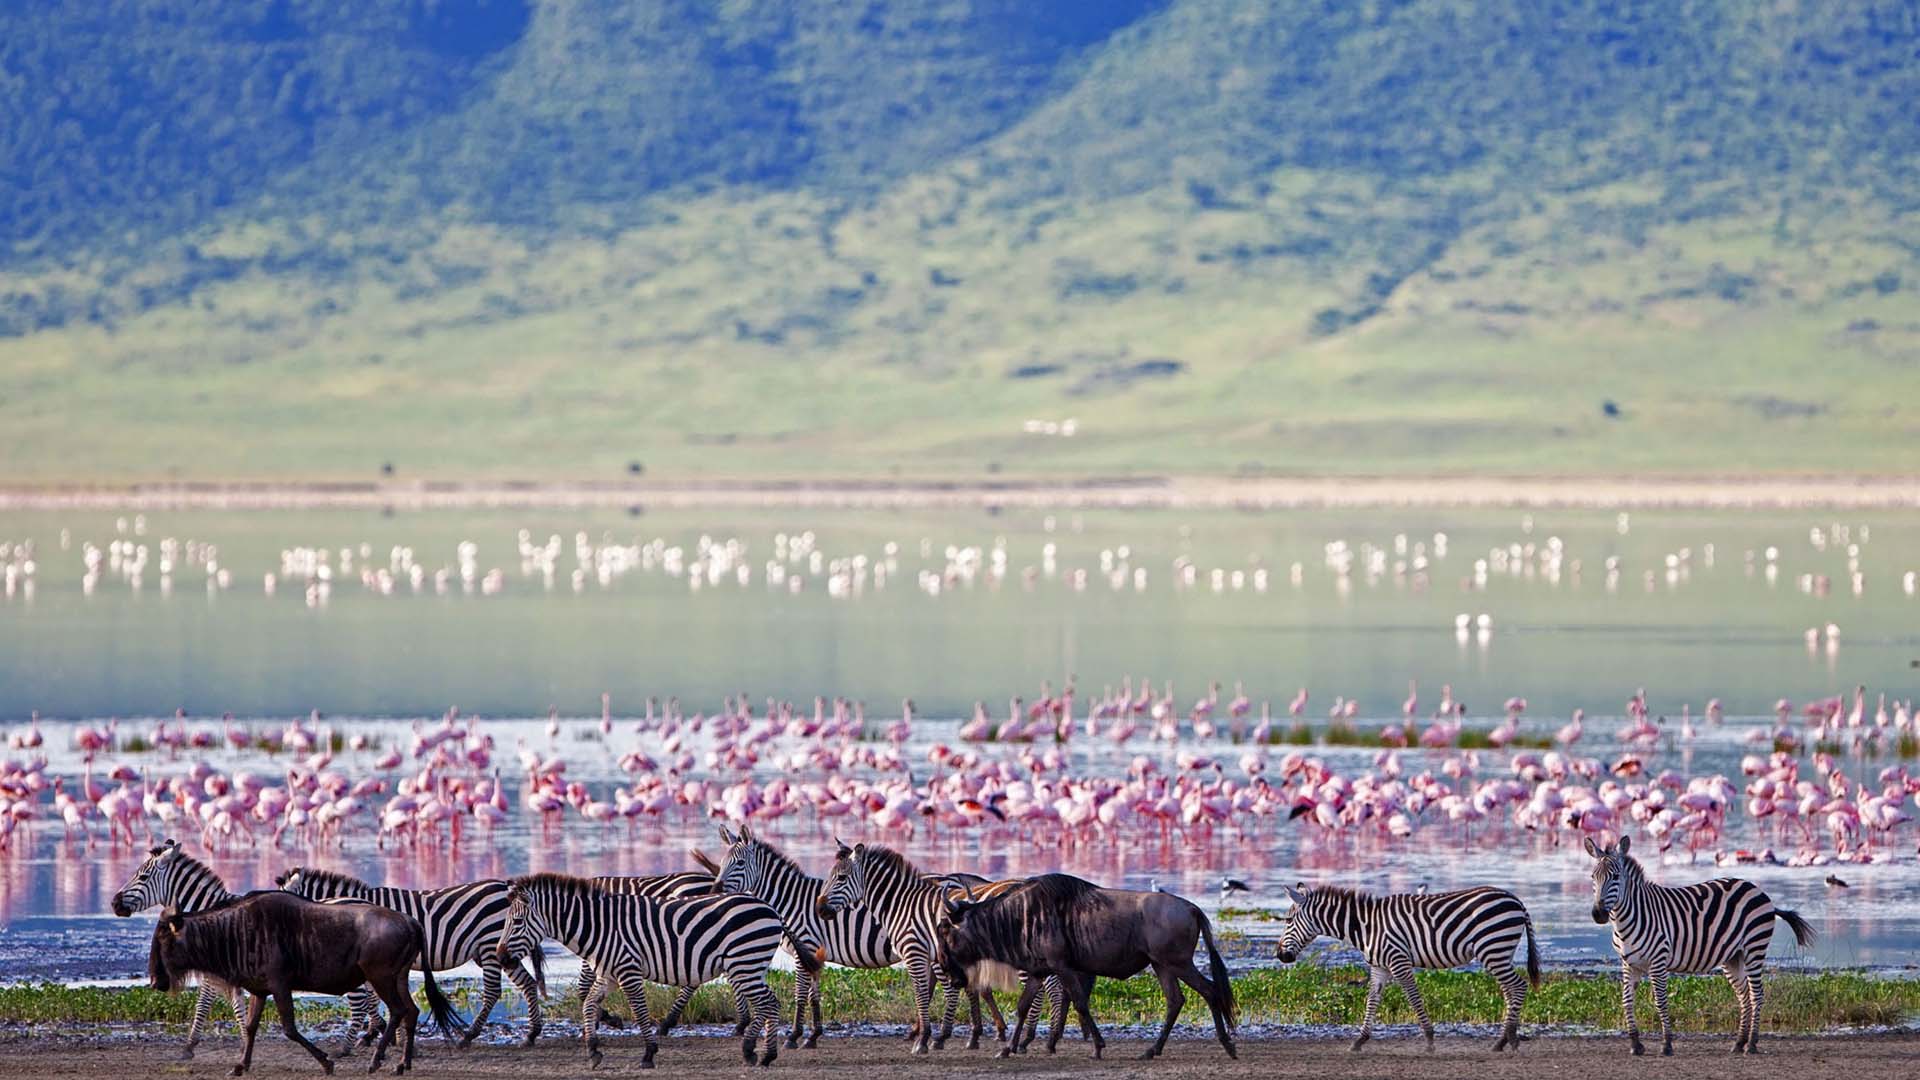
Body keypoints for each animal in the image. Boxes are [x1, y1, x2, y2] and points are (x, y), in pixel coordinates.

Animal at [274, 857, 541, 1045]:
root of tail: (504, 886)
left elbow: (372, 997)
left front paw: (379, 1032)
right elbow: (374, 997)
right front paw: (382, 1031)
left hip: (489, 946)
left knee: (494, 991)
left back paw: (469, 1036)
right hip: (502, 950)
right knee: (528, 983)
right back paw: (532, 1033)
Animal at [495, 868, 802, 1060]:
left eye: (517, 922)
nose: (500, 957)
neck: (599, 925)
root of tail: (769, 908)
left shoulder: (628, 970)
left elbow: (639, 1011)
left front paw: (648, 1052)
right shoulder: (608, 972)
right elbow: (589, 1003)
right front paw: (593, 1048)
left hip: (745, 963)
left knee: (769, 1003)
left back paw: (763, 1053)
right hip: (748, 965)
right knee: (767, 1003)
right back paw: (754, 1050)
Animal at [821, 834, 1067, 1053]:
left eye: (841, 878)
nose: (820, 909)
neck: (903, 905)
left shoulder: (915, 952)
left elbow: (924, 991)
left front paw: (926, 1039)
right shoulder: (936, 956)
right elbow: (952, 989)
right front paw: (943, 1035)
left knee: (1044, 988)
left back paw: (1030, 1040)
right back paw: (1042, 1039)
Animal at [1274, 880, 1543, 1045]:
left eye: (1287, 920)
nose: (1279, 955)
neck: (1365, 926)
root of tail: (1516, 900)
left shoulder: (1398, 962)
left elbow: (1413, 998)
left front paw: (1429, 1040)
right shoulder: (1380, 966)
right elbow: (1372, 1000)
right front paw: (1359, 1042)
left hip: (1493, 948)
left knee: (1517, 986)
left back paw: (1505, 1041)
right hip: (1499, 952)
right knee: (1509, 990)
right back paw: (1506, 1039)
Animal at [1589, 834, 1812, 1053]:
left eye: (1616, 877)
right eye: (1593, 877)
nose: (1598, 914)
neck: (1627, 919)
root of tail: (1757, 889)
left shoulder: (1659, 961)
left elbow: (1660, 1002)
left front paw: (1666, 1044)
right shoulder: (1629, 964)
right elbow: (1627, 1001)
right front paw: (1636, 1044)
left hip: (1754, 948)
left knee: (1757, 995)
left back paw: (1751, 1044)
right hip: (1733, 956)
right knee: (1744, 996)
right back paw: (1739, 1043)